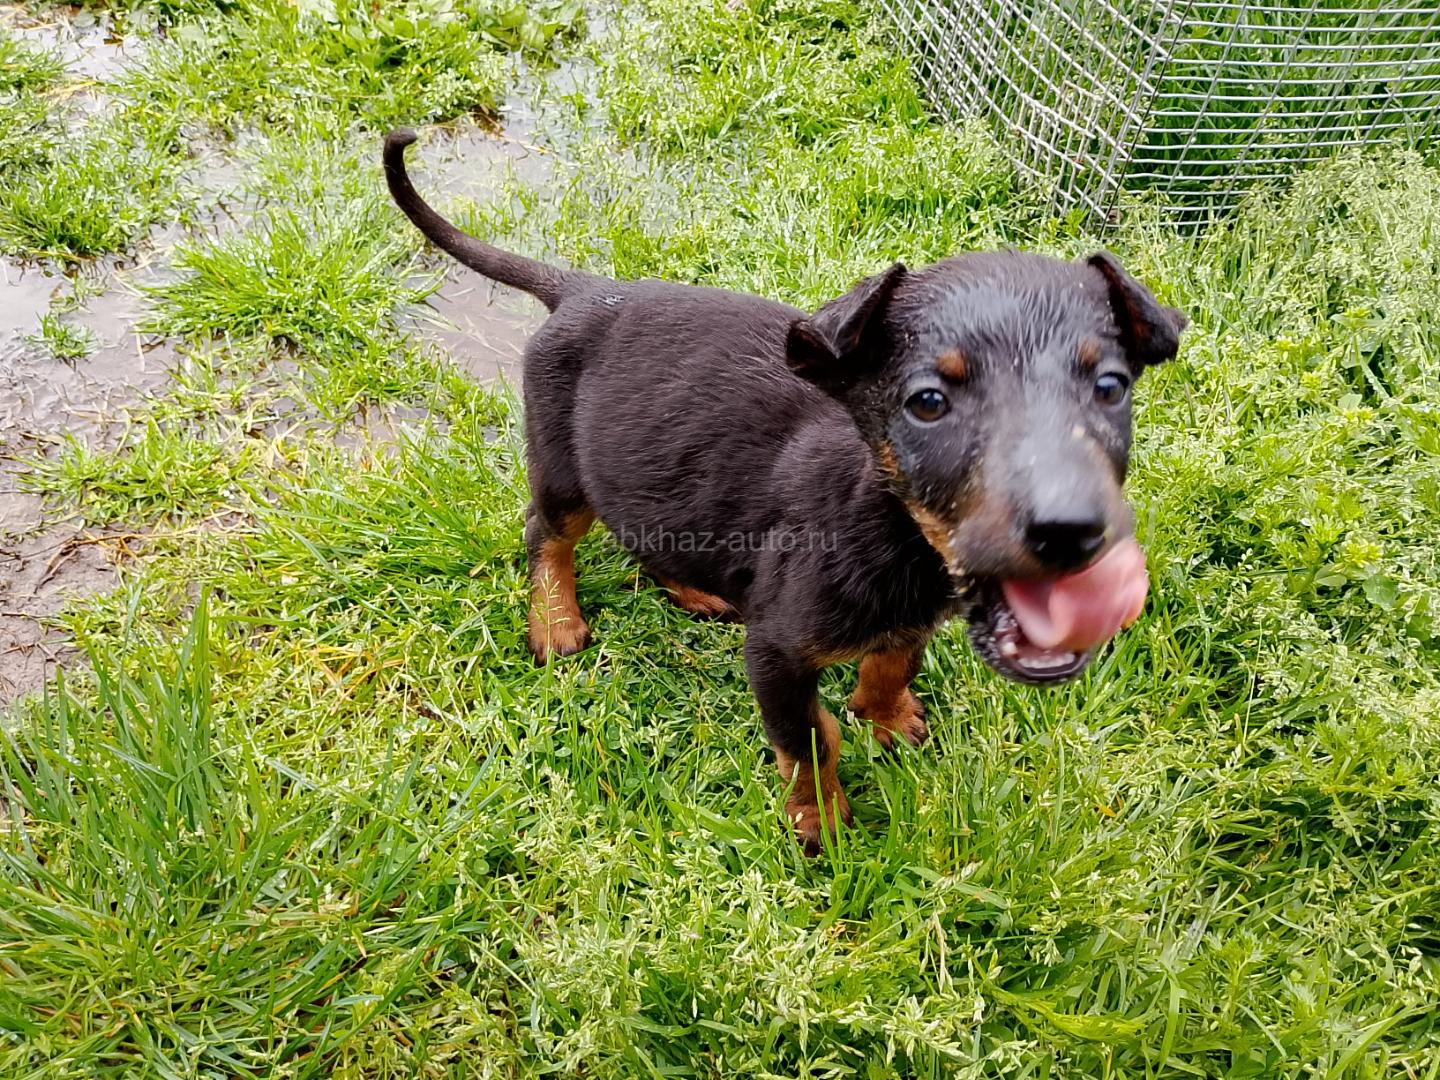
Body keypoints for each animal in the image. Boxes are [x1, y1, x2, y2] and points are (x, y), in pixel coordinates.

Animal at [384, 129, 1186, 854]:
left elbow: (892, 659)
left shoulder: (910, 616)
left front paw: (884, 716)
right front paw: (819, 819)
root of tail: (585, 291)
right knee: (547, 533)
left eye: (1111, 387)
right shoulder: (776, 650)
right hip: (561, 464)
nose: (1071, 533)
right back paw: (555, 619)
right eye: (927, 402)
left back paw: (695, 589)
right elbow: (807, 741)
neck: (895, 531)